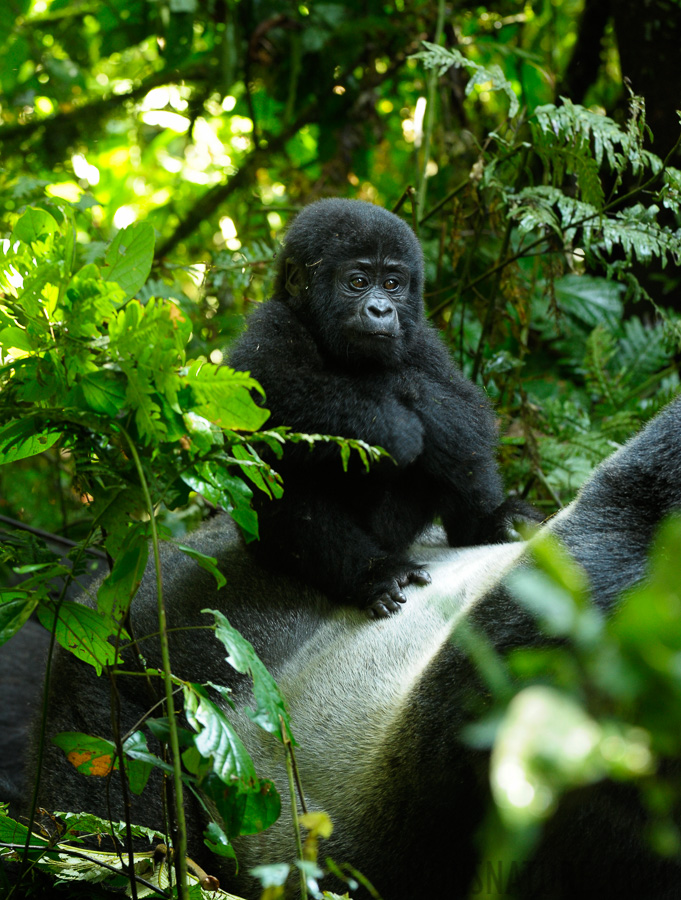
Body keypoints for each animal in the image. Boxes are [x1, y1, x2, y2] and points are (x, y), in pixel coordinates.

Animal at [230, 200, 524, 616]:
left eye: (392, 284)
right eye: (357, 282)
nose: (381, 310)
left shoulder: (423, 338)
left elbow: (470, 415)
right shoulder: (269, 326)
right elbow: (266, 397)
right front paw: (392, 426)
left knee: (454, 440)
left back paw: (487, 526)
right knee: (276, 461)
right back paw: (373, 574)